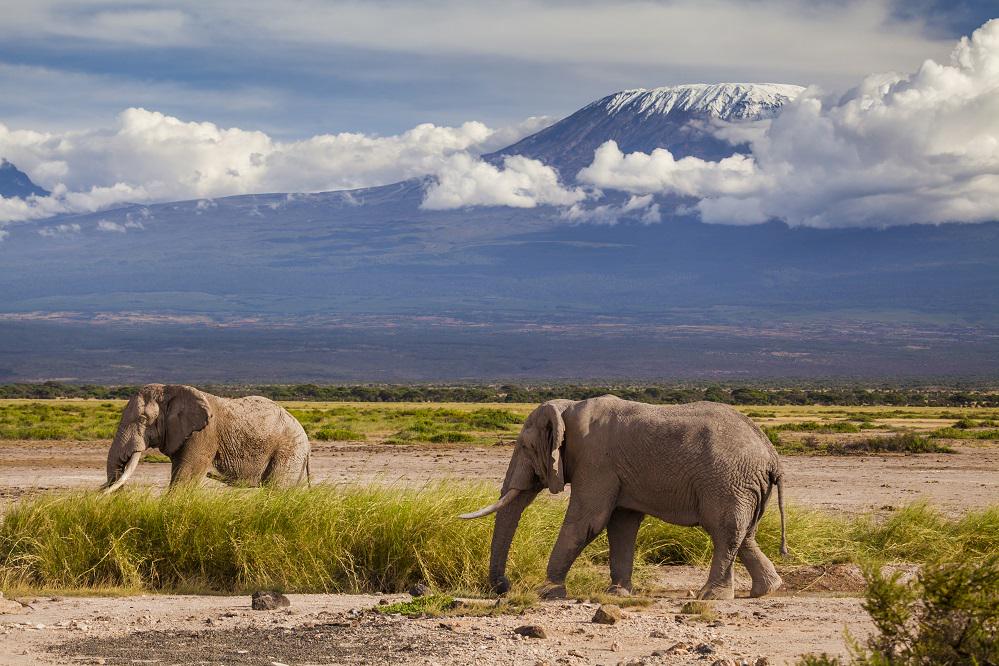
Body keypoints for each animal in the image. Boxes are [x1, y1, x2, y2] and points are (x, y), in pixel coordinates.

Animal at [103, 382, 310, 490]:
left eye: (143, 418)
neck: (171, 390)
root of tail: (307, 445)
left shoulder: (202, 435)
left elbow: (183, 481)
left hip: (288, 451)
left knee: (276, 490)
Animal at [460, 396, 788, 600]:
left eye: (525, 447)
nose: (504, 587)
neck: (567, 408)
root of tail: (771, 454)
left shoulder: (596, 461)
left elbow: (587, 521)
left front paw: (547, 592)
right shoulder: (613, 471)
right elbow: (621, 525)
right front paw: (617, 593)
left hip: (728, 481)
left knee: (724, 531)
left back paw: (712, 596)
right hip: (743, 485)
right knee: (743, 535)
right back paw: (767, 590)